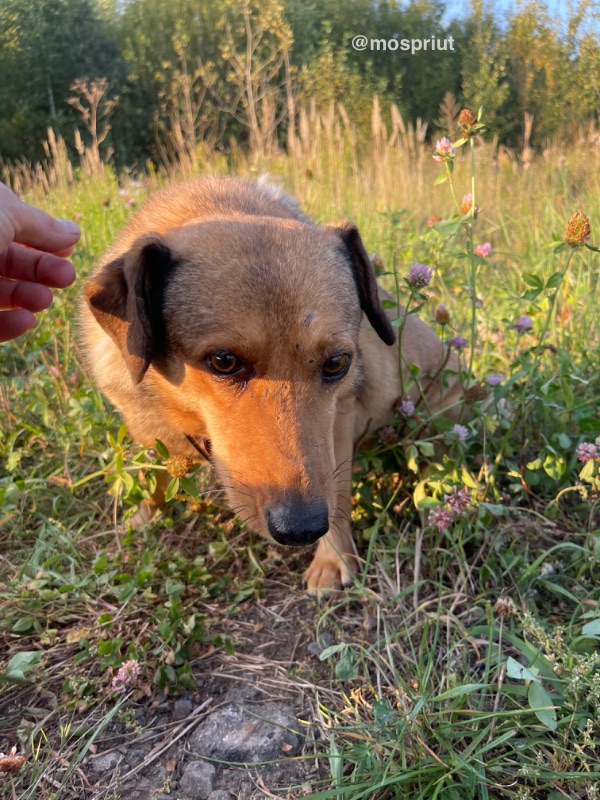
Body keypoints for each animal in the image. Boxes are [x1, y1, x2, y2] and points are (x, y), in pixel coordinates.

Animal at [81, 180, 464, 592]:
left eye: (337, 363)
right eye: (223, 361)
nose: (302, 530)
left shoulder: (341, 416)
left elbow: (339, 491)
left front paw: (333, 558)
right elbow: (156, 478)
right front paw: (143, 517)